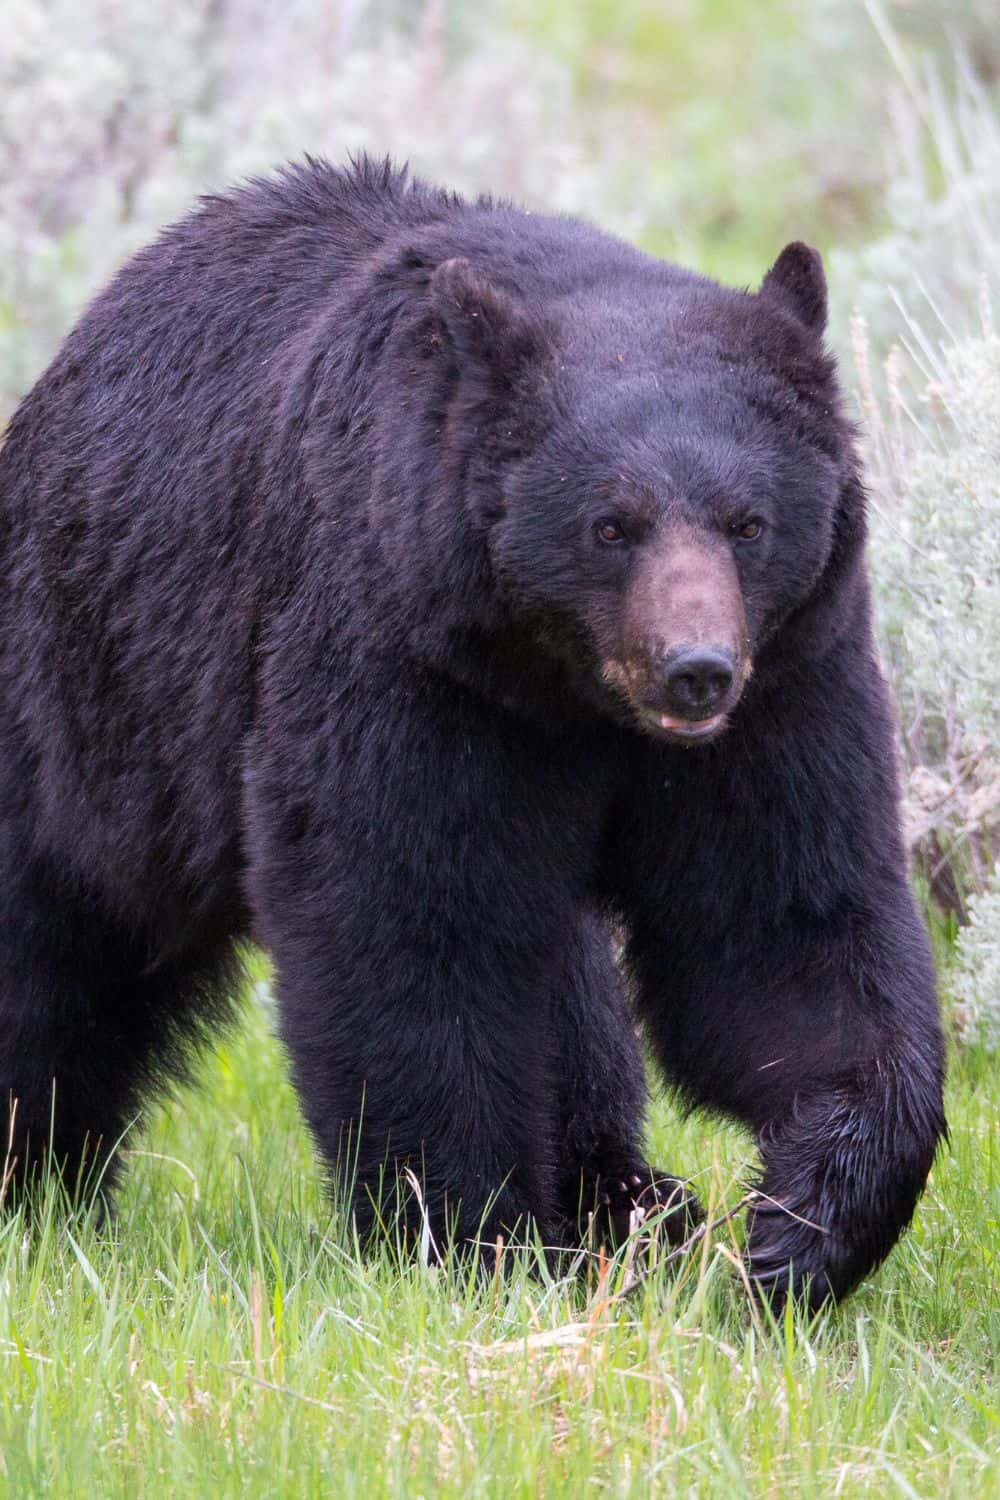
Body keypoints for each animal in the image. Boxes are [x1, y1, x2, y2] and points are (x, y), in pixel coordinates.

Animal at [0, 155, 947, 1302]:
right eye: (610, 524)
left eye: (748, 521)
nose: (695, 672)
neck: (567, 691)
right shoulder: (399, 650)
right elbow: (411, 919)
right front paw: (469, 1237)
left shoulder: (790, 680)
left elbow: (779, 921)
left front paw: (802, 1230)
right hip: (95, 704)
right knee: (53, 951)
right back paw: (38, 1185)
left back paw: (632, 1200)